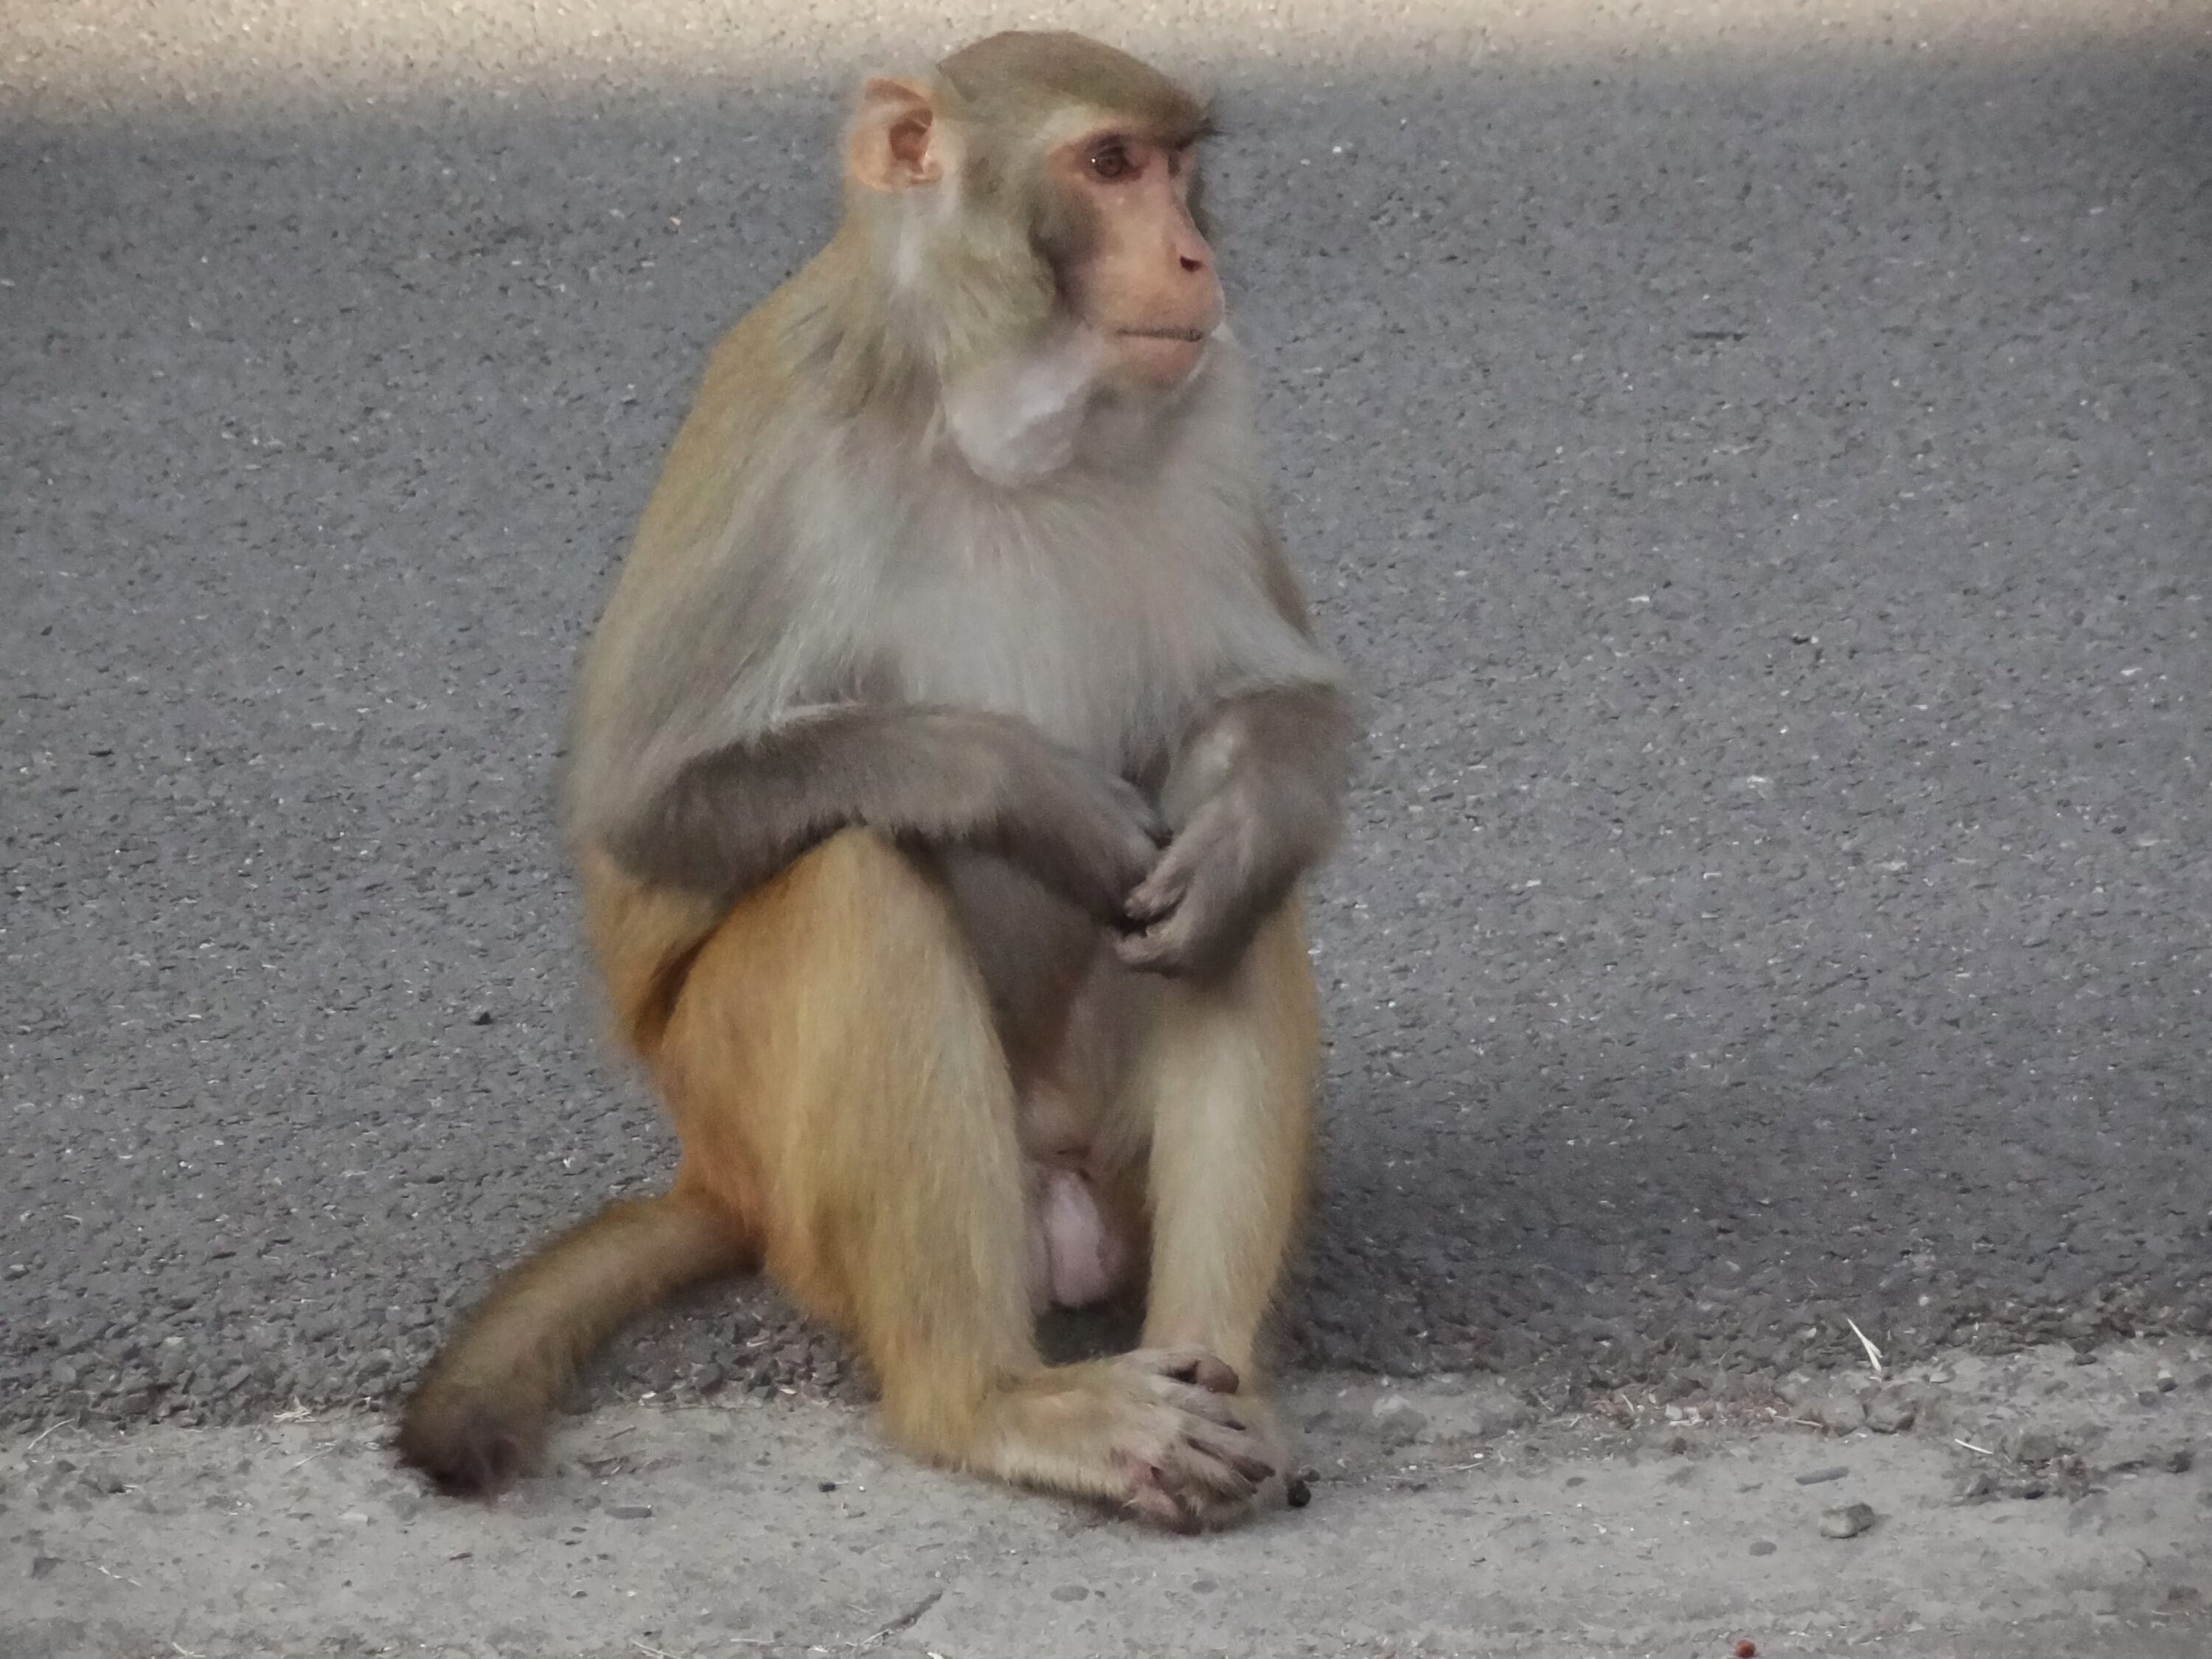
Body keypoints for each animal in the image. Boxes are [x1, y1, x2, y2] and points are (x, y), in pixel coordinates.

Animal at [394, 29, 1356, 1534]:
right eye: (1110, 164)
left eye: (1178, 166)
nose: (1195, 256)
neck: (990, 411)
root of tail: (714, 1171)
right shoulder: (784, 419)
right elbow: (638, 801)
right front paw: (1029, 788)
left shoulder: (1213, 403)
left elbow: (1284, 715)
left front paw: (1239, 824)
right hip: (756, 1125)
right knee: (854, 871)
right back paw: (994, 1401)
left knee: (1231, 920)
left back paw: (1221, 1377)